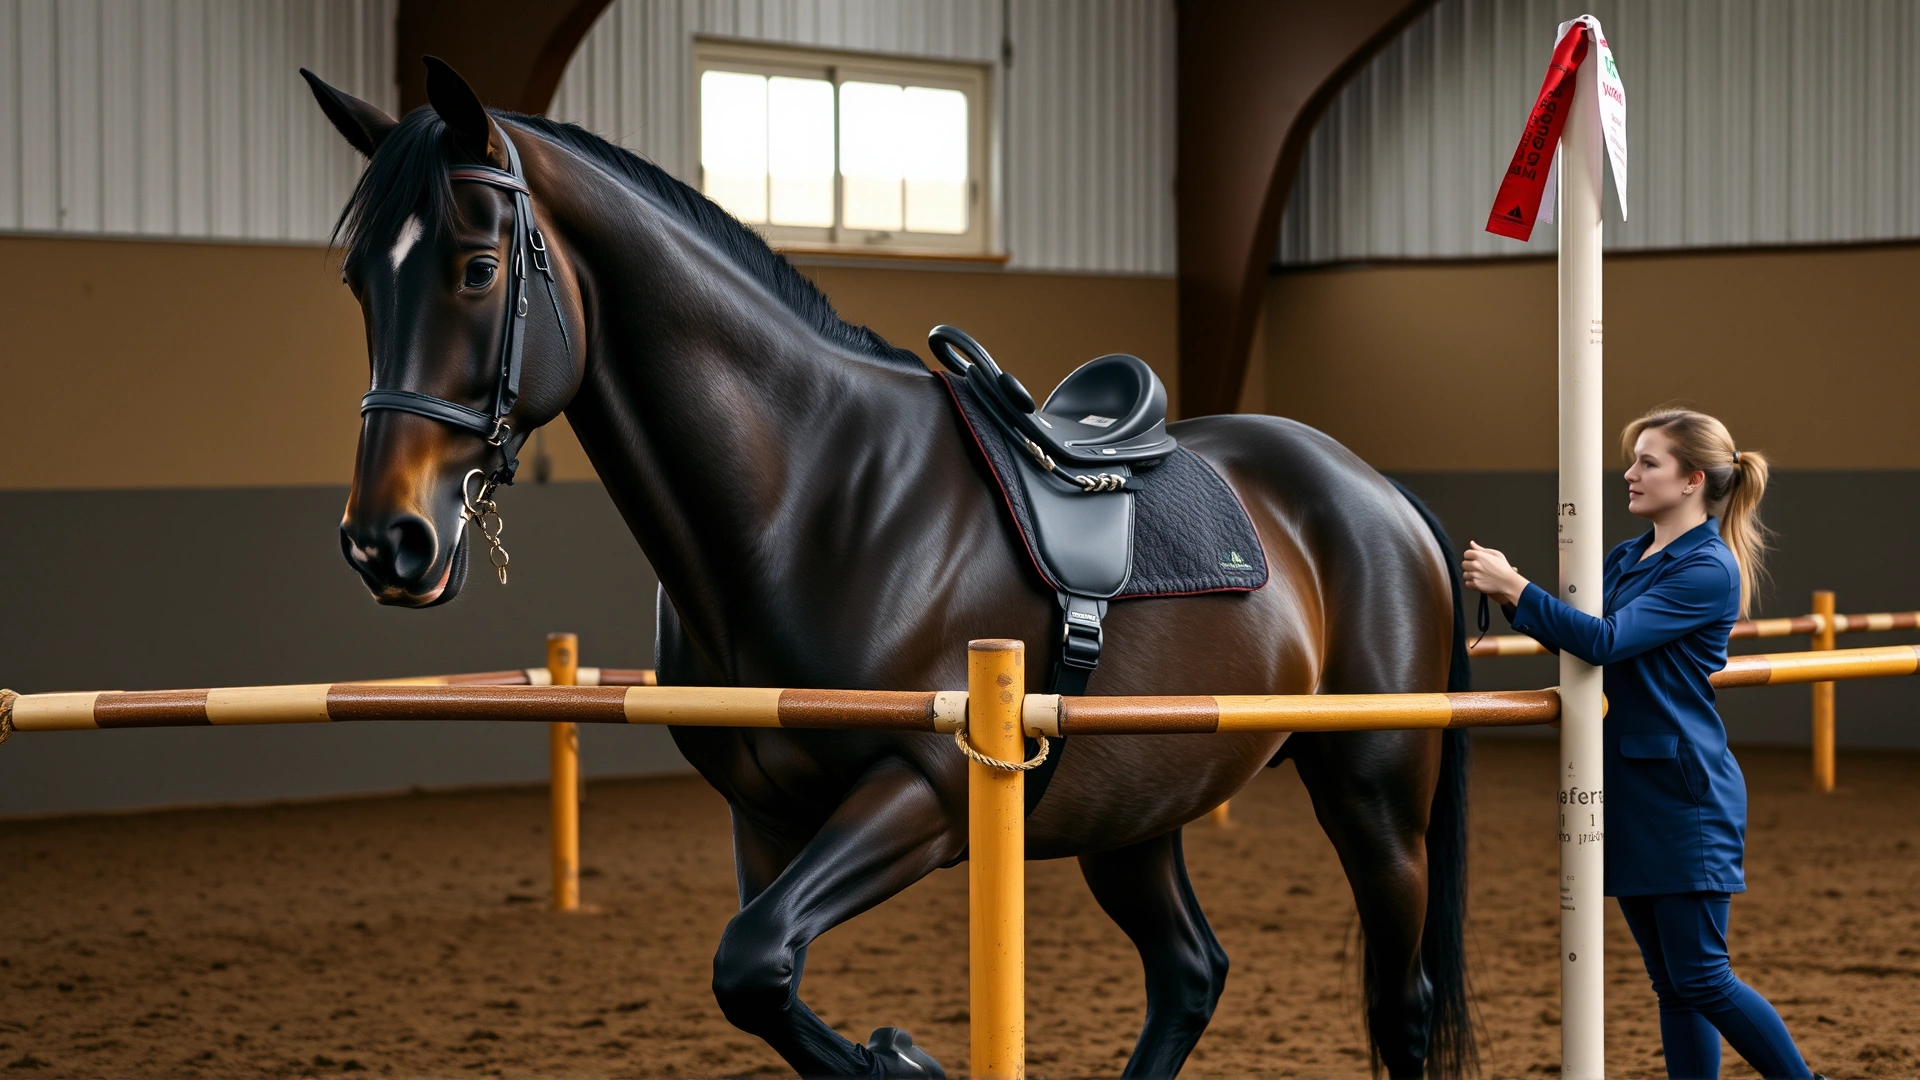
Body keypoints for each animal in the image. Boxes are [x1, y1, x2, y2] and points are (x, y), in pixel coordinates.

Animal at [305, 59, 1476, 1079]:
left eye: (478, 269)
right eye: (358, 281)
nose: (385, 539)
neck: (811, 499)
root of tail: (1375, 491)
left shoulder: (926, 791)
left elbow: (753, 961)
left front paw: (901, 1057)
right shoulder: (765, 817)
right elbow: (758, 973)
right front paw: (892, 1055)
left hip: (1374, 793)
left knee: (1401, 1005)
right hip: (1134, 814)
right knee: (1190, 974)